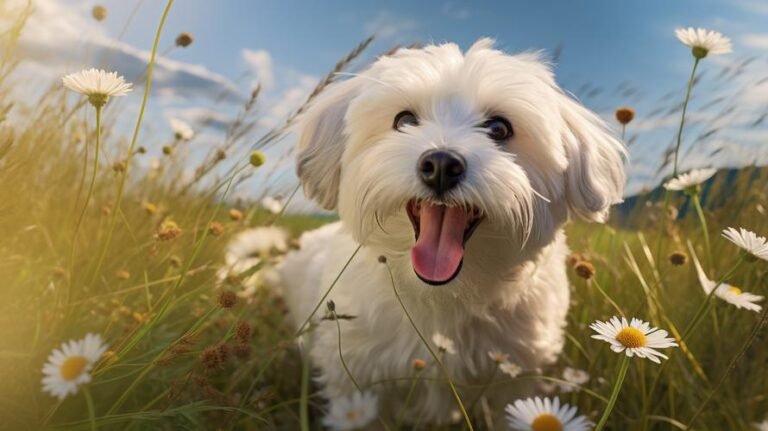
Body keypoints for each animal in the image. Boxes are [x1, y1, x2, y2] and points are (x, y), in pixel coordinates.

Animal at [272, 38, 628, 426]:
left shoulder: (514, 379)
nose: (441, 164)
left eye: (499, 129)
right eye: (404, 120)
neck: (443, 296)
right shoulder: (355, 381)